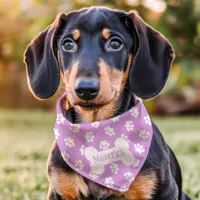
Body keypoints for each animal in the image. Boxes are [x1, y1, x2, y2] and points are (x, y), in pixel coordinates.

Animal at [23, 6, 191, 200]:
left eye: (115, 43)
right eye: (67, 44)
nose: (85, 89)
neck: (97, 130)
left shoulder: (164, 192)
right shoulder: (59, 190)